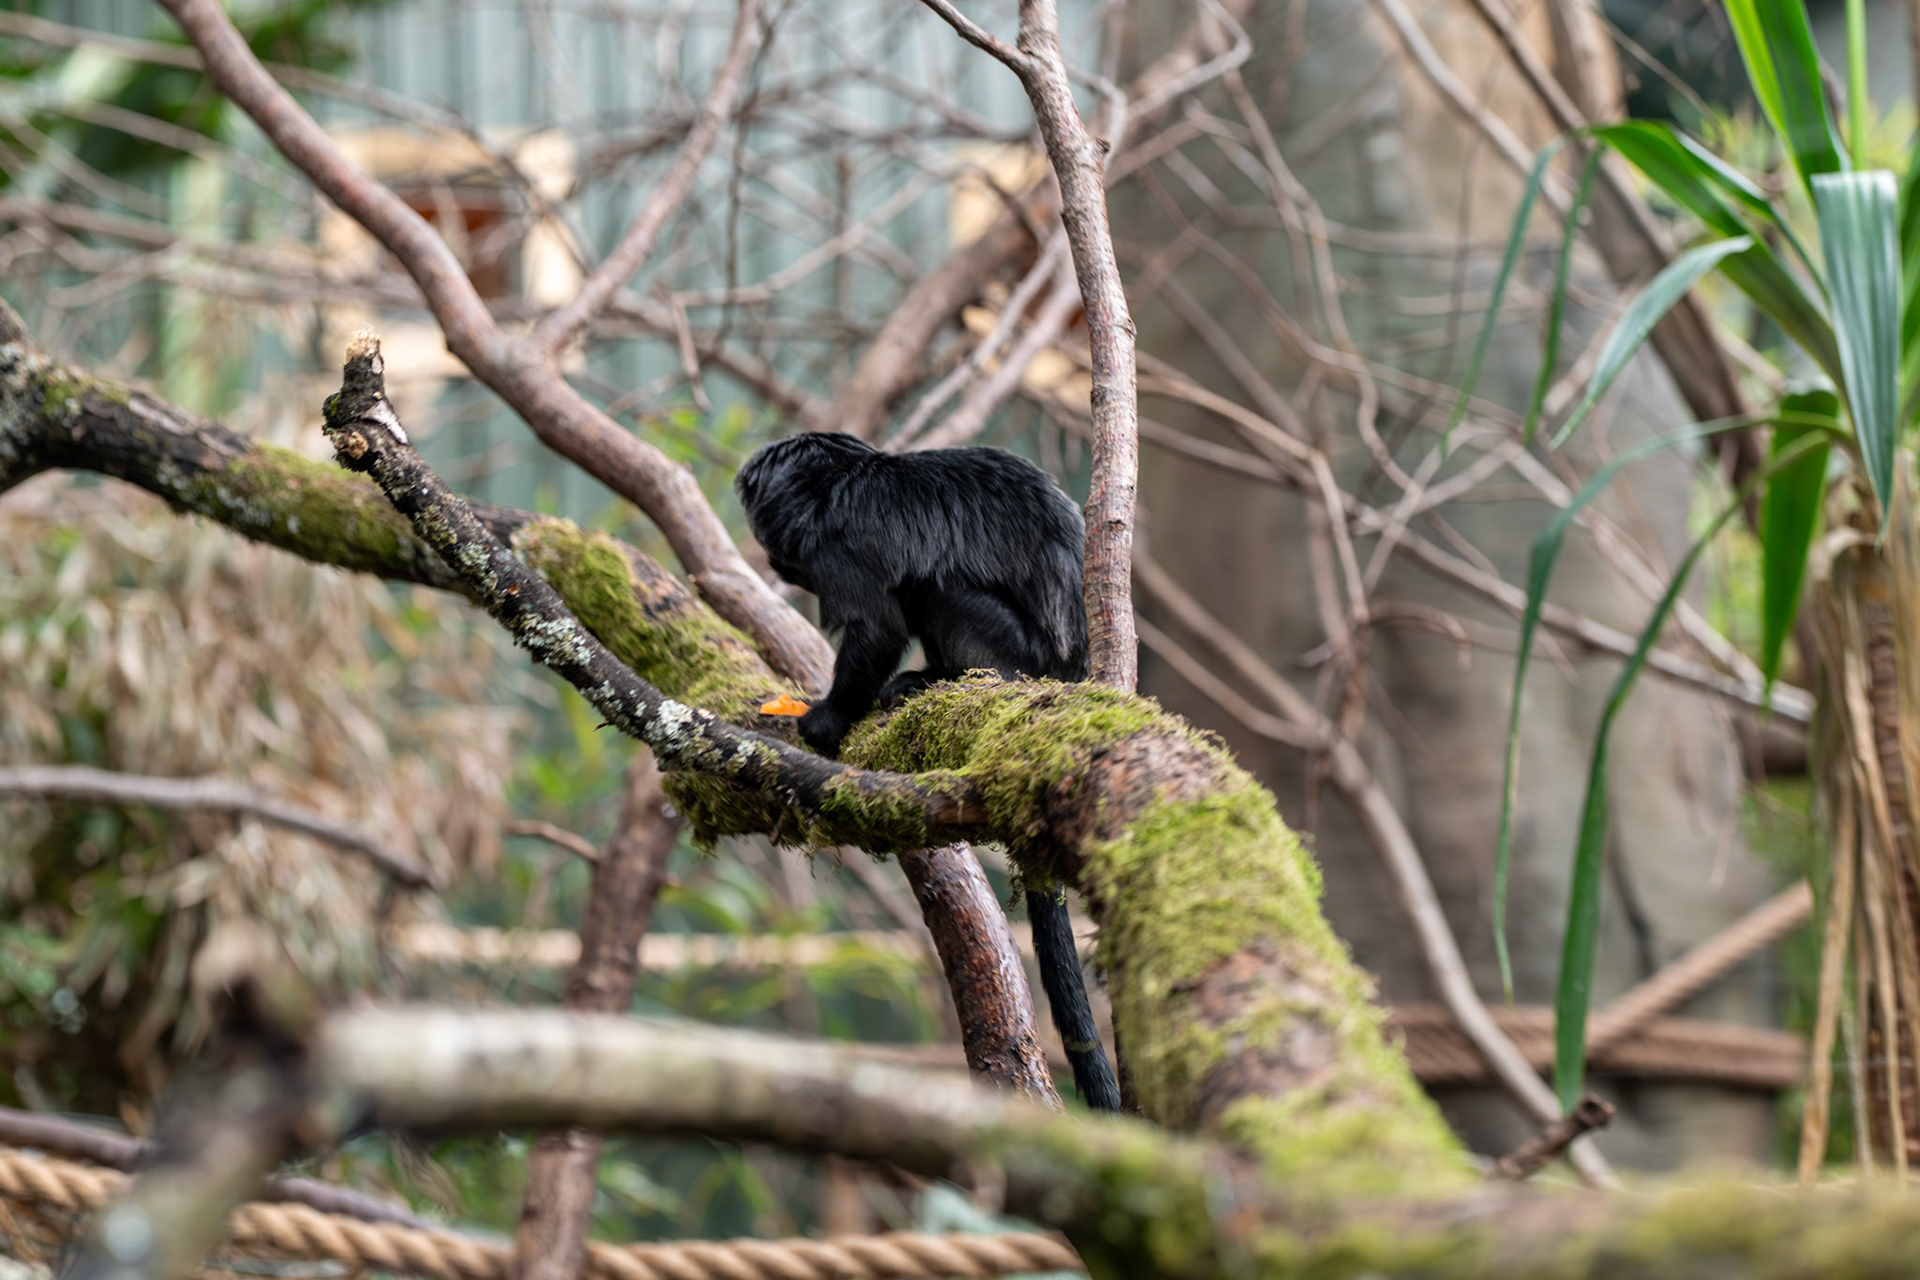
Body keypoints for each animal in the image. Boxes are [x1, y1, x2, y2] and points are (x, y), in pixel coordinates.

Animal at [735, 430, 1121, 1111]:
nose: (780, 566)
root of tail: (1067, 674)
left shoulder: (842, 546)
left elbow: (877, 626)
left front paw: (825, 720)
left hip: (1014, 656)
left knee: (939, 591)